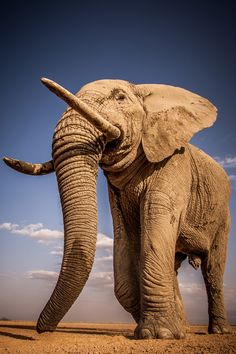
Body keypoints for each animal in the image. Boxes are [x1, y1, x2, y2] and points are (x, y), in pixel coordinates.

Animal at [3, 76, 231, 338]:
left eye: (120, 97)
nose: (42, 330)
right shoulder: (117, 195)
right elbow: (127, 243)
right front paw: (158, 332)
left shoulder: (173, 164)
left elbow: (154, 231)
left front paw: (157, 335)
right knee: (173, 263)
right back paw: (183, 329)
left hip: (223, 213)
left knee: (213, 267)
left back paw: (219, 331)